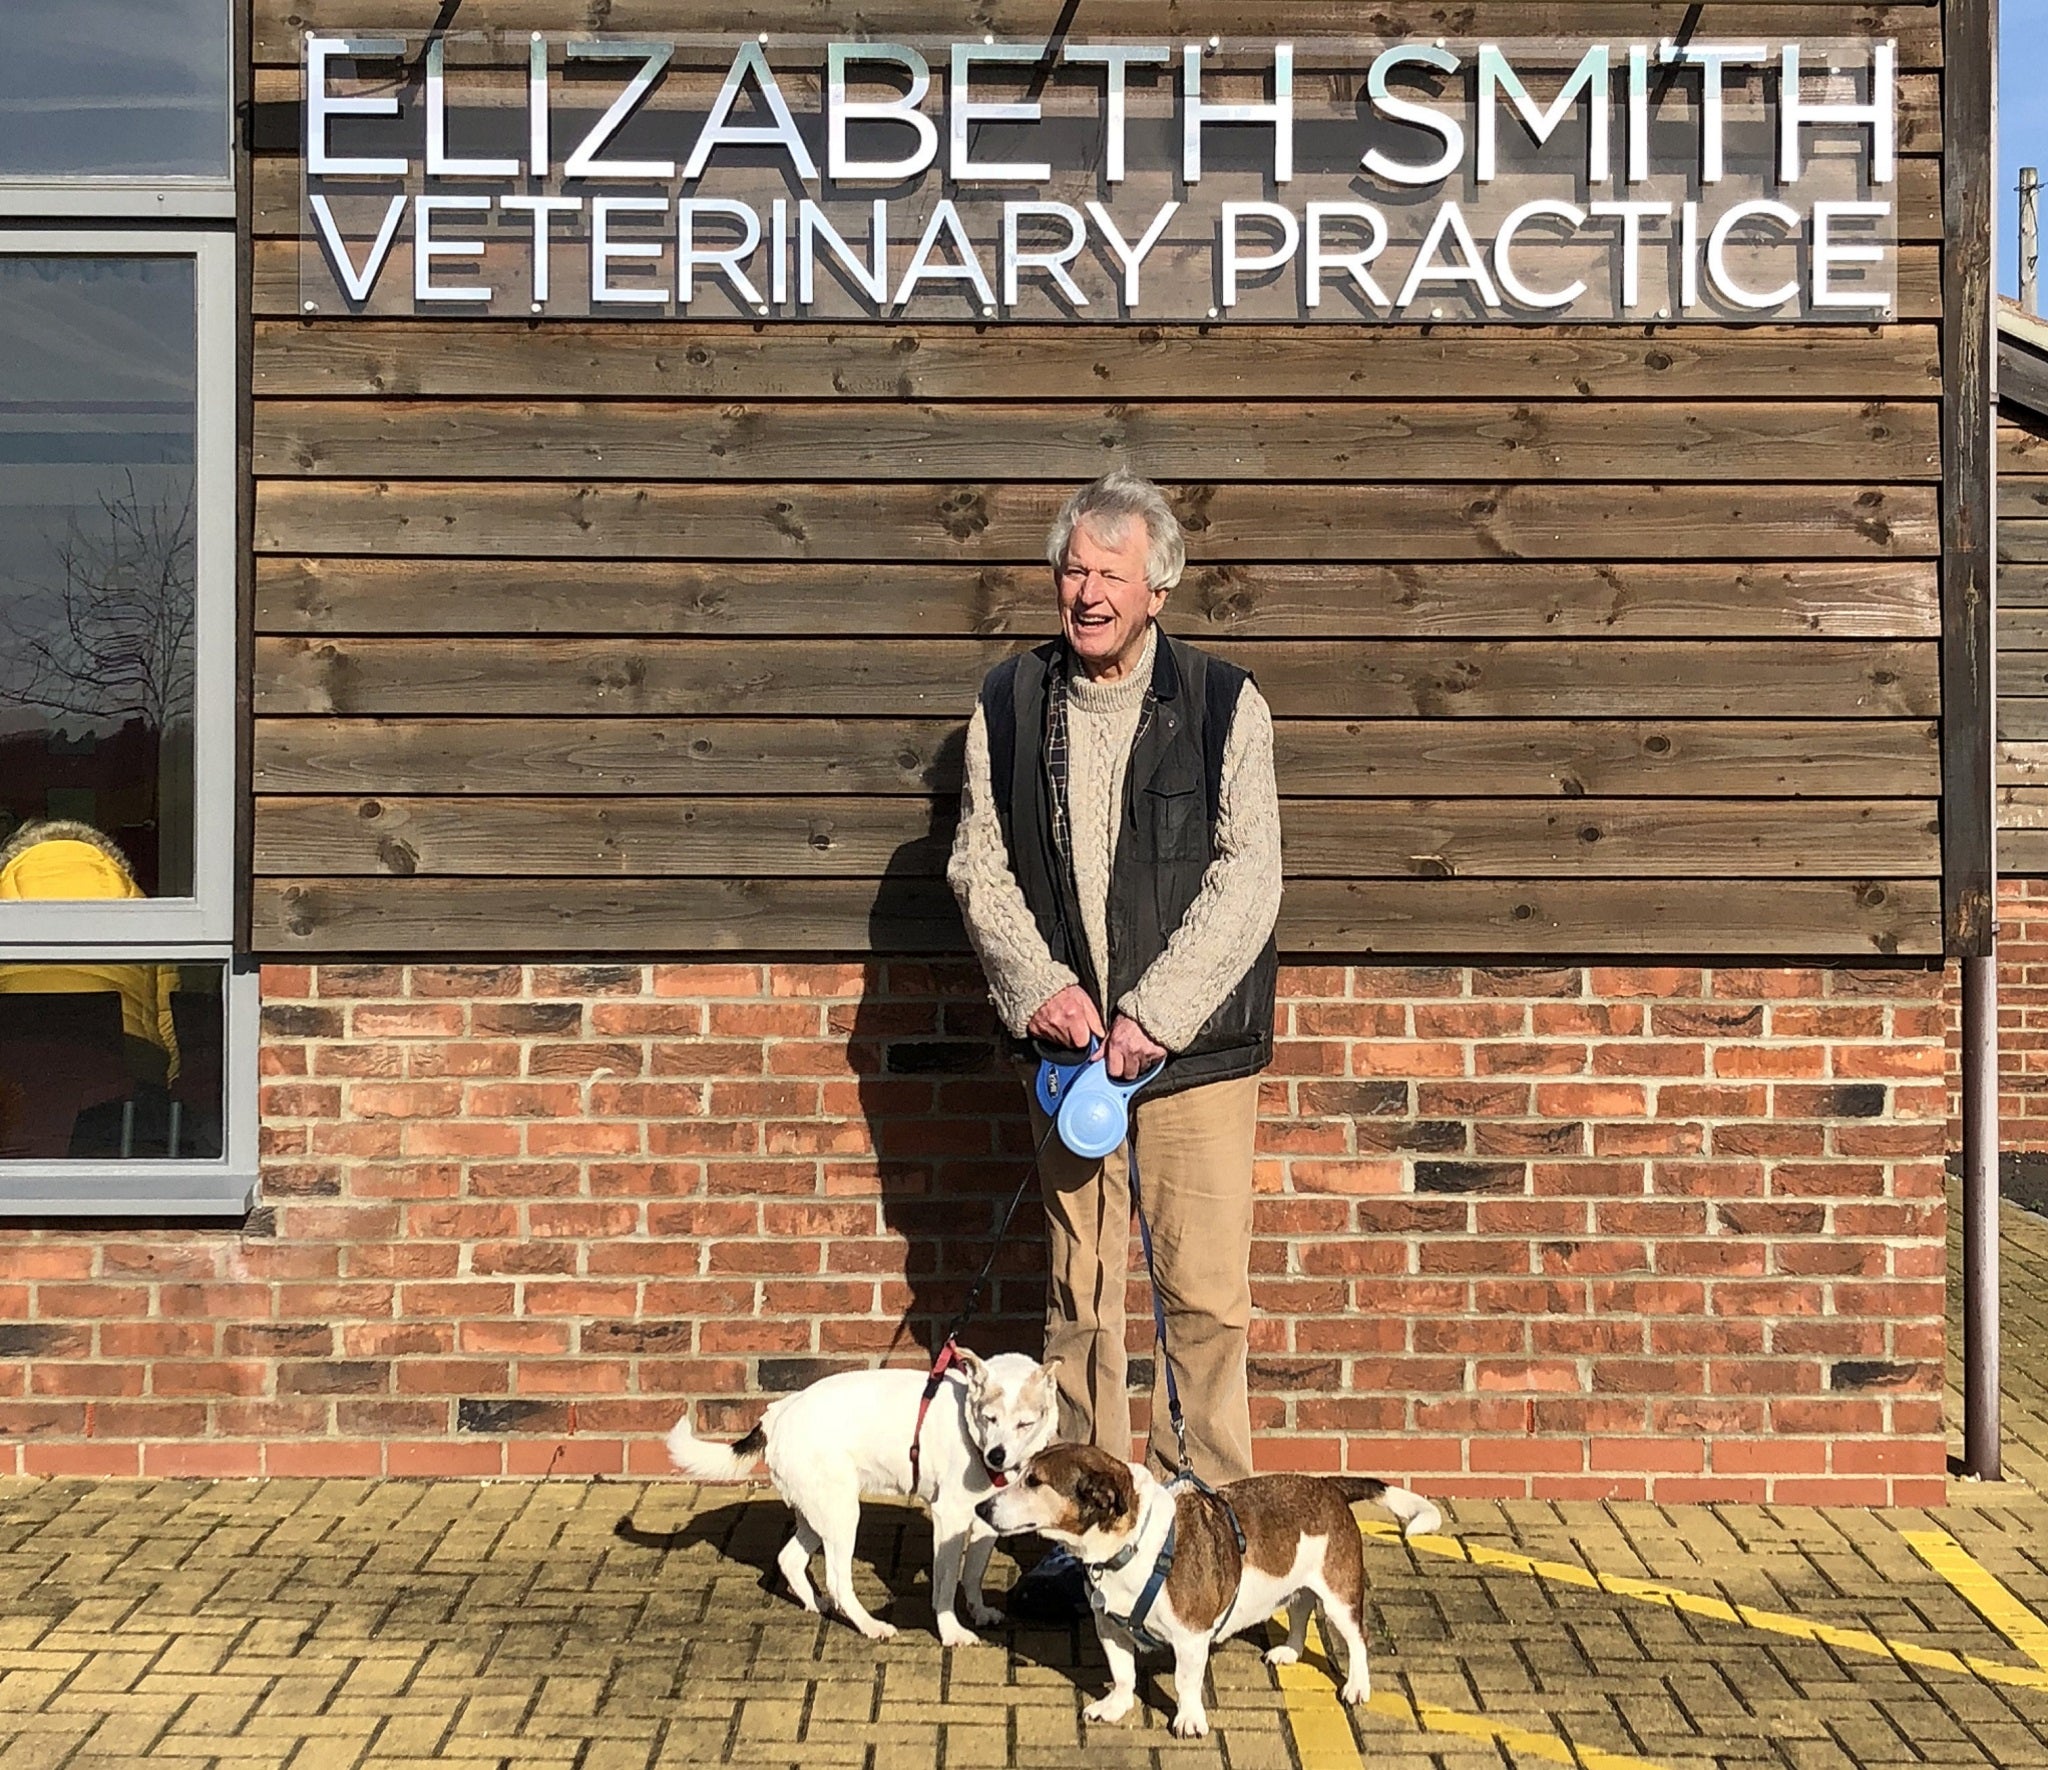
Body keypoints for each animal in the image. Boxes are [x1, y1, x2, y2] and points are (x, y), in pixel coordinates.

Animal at [667, 1352, 1056, 1647]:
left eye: (1024, 1424)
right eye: (989, 1418)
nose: (996, 1457)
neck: (968, 1421)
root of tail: (777, 1414)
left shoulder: (986, 1524)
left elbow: (973, 1574)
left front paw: (978, 1611)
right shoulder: (950, 1518)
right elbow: (946, 1586)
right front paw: (951, 1631)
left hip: (821, 1513)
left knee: (790, 1559)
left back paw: (816, 1603)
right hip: (842, 1516)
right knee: (839, 1582)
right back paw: (870, 1625)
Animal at [974, 1442, 1441, 1737]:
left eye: (1034, 1482)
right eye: (1020, 1475)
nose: (981, 1507)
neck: (1131, 1546)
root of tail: (1328, 1485)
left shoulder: (1191, 1636)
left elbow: (1185, 1681)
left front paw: (1188, 1719)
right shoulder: (1109, 1626)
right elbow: (1122, 1673)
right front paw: (1116, 1705)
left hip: (1338, 1592)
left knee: (1357, 1638)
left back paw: (1357, 1685)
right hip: (1297, 1582)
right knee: (1299, 1610)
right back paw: (1289, 1650)